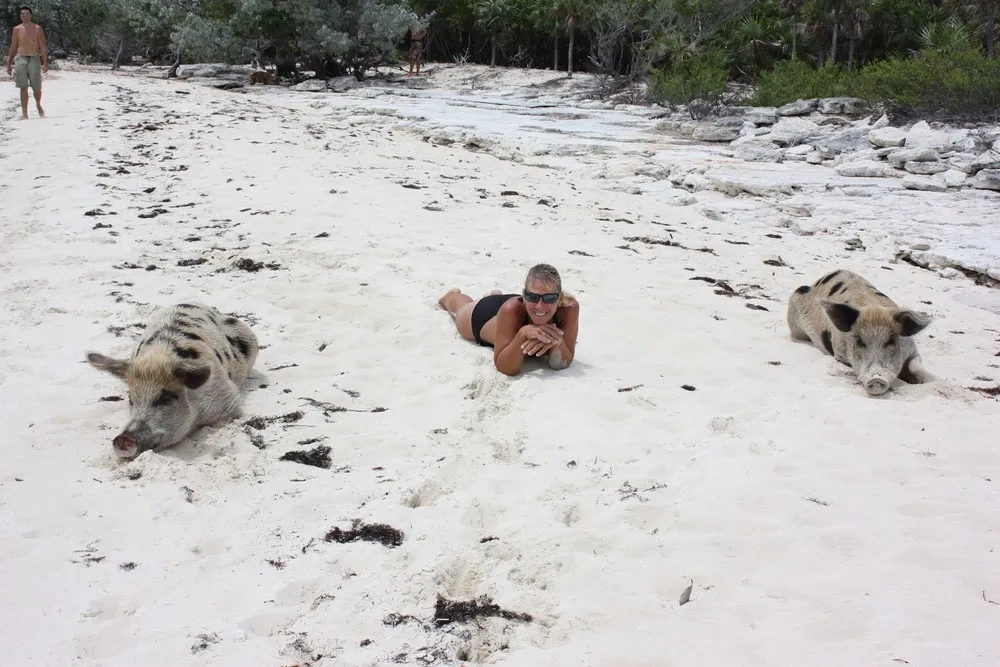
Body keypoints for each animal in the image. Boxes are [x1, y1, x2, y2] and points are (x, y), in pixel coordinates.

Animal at [786, 269, 933, 396]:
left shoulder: (912, 350)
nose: (876, 379)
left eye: (891, 340)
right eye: (860, 341)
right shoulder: (839, 353)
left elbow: (916, 368)